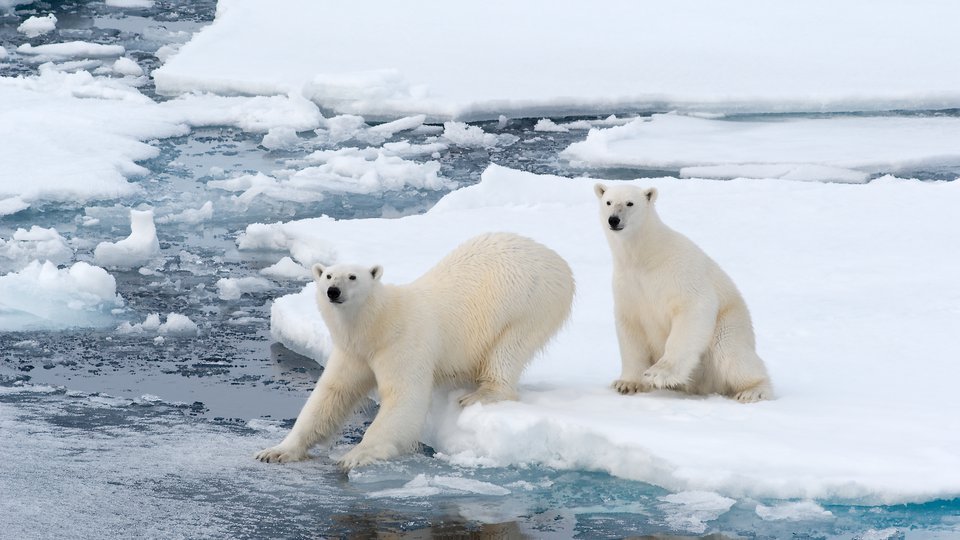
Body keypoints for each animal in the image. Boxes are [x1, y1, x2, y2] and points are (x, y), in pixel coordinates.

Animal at [251, 232, 572, 468]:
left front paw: (354, 455)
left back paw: (481, 393)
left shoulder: (402, 343)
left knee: (508, 349)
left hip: (531, 301)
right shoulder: (353, 352)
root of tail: (557, 260)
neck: (378, 325)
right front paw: (276, 451)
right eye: (328, 276)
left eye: (353, 277)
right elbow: (329, 396)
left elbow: (403, 398)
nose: (333, 292)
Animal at [592, 184, 772, 402]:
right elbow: (631, 328)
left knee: (732, 355)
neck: (645, 255)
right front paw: (627, 383)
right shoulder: (628, 285)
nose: (614, 219)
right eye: (608, 202)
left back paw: (752, 390)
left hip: (729, 324)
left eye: (630, 203)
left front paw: (659, 374)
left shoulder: (678, 271)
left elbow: (692, 307)